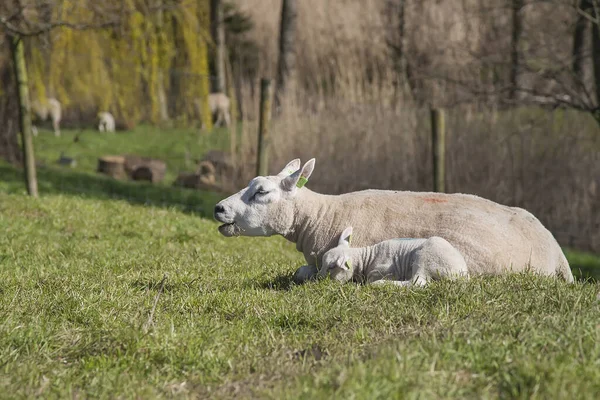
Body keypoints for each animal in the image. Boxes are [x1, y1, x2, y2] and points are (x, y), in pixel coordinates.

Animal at [318, 225, 468, 288]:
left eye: (331, 266)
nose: (318, 279)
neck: (365, 259)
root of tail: (462, 273)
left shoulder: (385, 271)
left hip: (427, 257)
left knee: (417, 282)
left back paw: (381, 284)